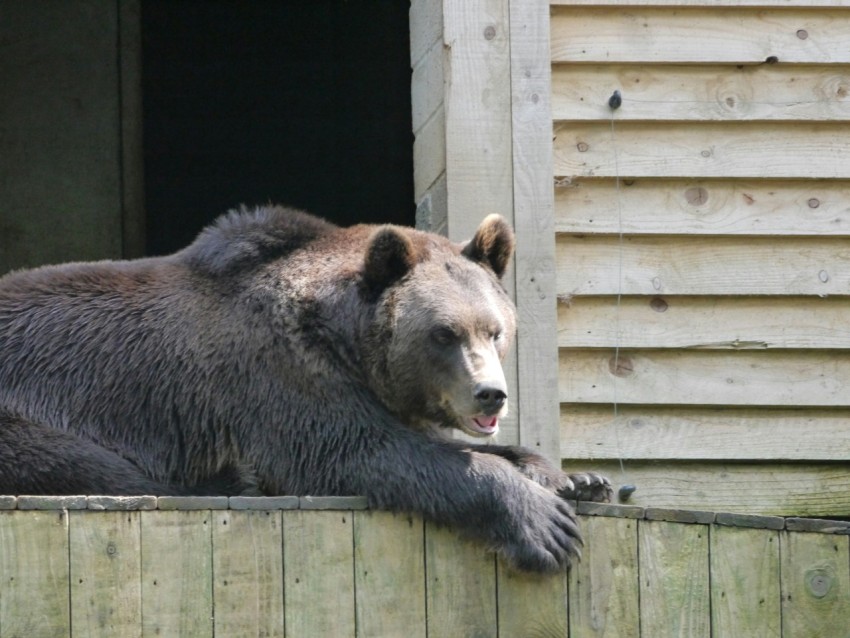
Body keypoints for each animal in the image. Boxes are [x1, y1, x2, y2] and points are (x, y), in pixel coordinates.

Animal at [0, 205, 610, 572]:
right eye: (444, 333)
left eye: (495, 329)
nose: (490, 394)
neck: (342, 338)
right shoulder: (279, 376)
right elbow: (365, 450)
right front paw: (545, 526)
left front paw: (579, 479)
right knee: (81, 461)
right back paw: (229, 481)